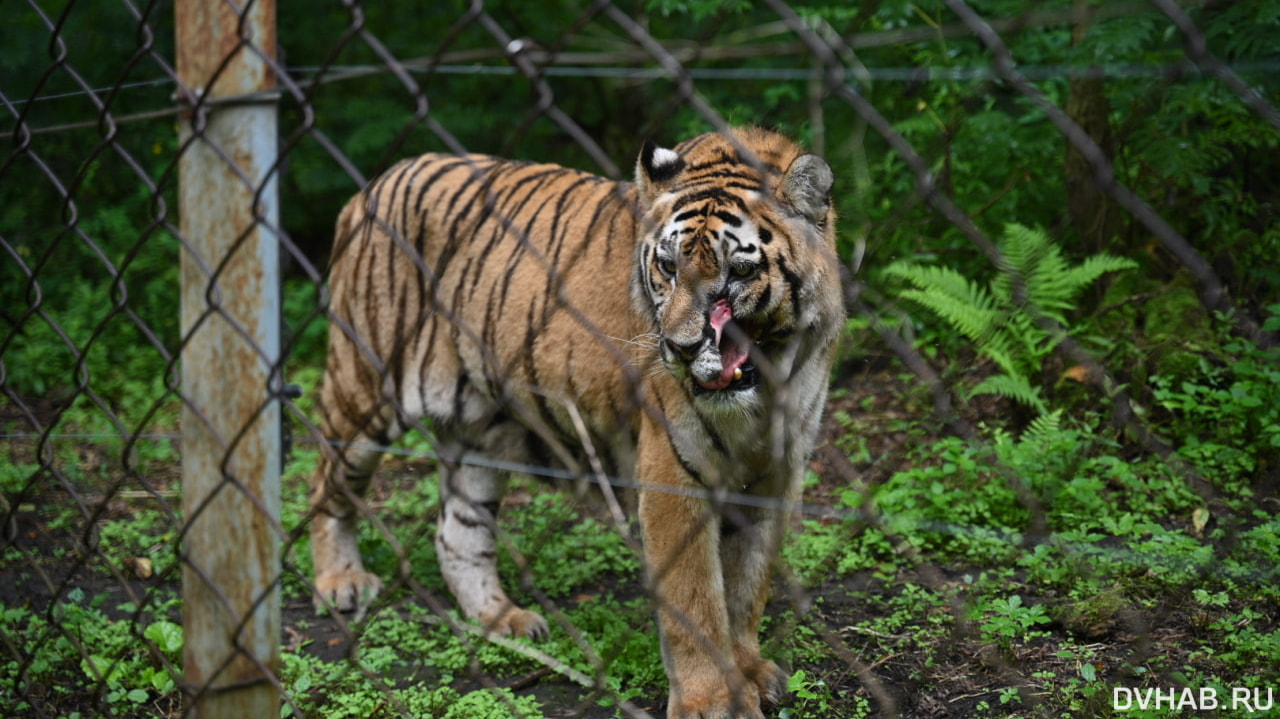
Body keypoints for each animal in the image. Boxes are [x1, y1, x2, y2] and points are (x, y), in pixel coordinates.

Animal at [311, 126, 844, 711]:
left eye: (741, 271)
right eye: (668, 266)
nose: (680, 350)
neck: (769, 377)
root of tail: (371, 187)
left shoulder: (776, 470)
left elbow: (748, 584)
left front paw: (750, 671)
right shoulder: (674, 470)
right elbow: (696, 601)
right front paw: (712, 702)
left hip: (480, 430)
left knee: (457, 535)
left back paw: (504, 620)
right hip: (364, 388)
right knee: (325, 479)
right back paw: (341, 581)